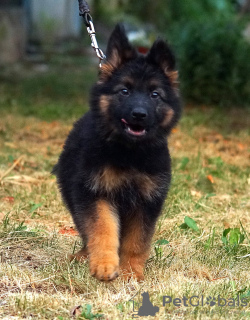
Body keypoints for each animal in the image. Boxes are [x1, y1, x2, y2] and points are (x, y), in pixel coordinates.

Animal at [54, 24, 182, 280]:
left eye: (155, 94)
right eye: (124, 91)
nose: (139, 114)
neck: (129, 153)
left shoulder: (146, 201)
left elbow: (137, 241)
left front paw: (130, 271)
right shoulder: (96, 193)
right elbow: (102, 230)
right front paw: (104, 264)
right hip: (73, 192)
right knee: (85, 229)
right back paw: (84, 255)